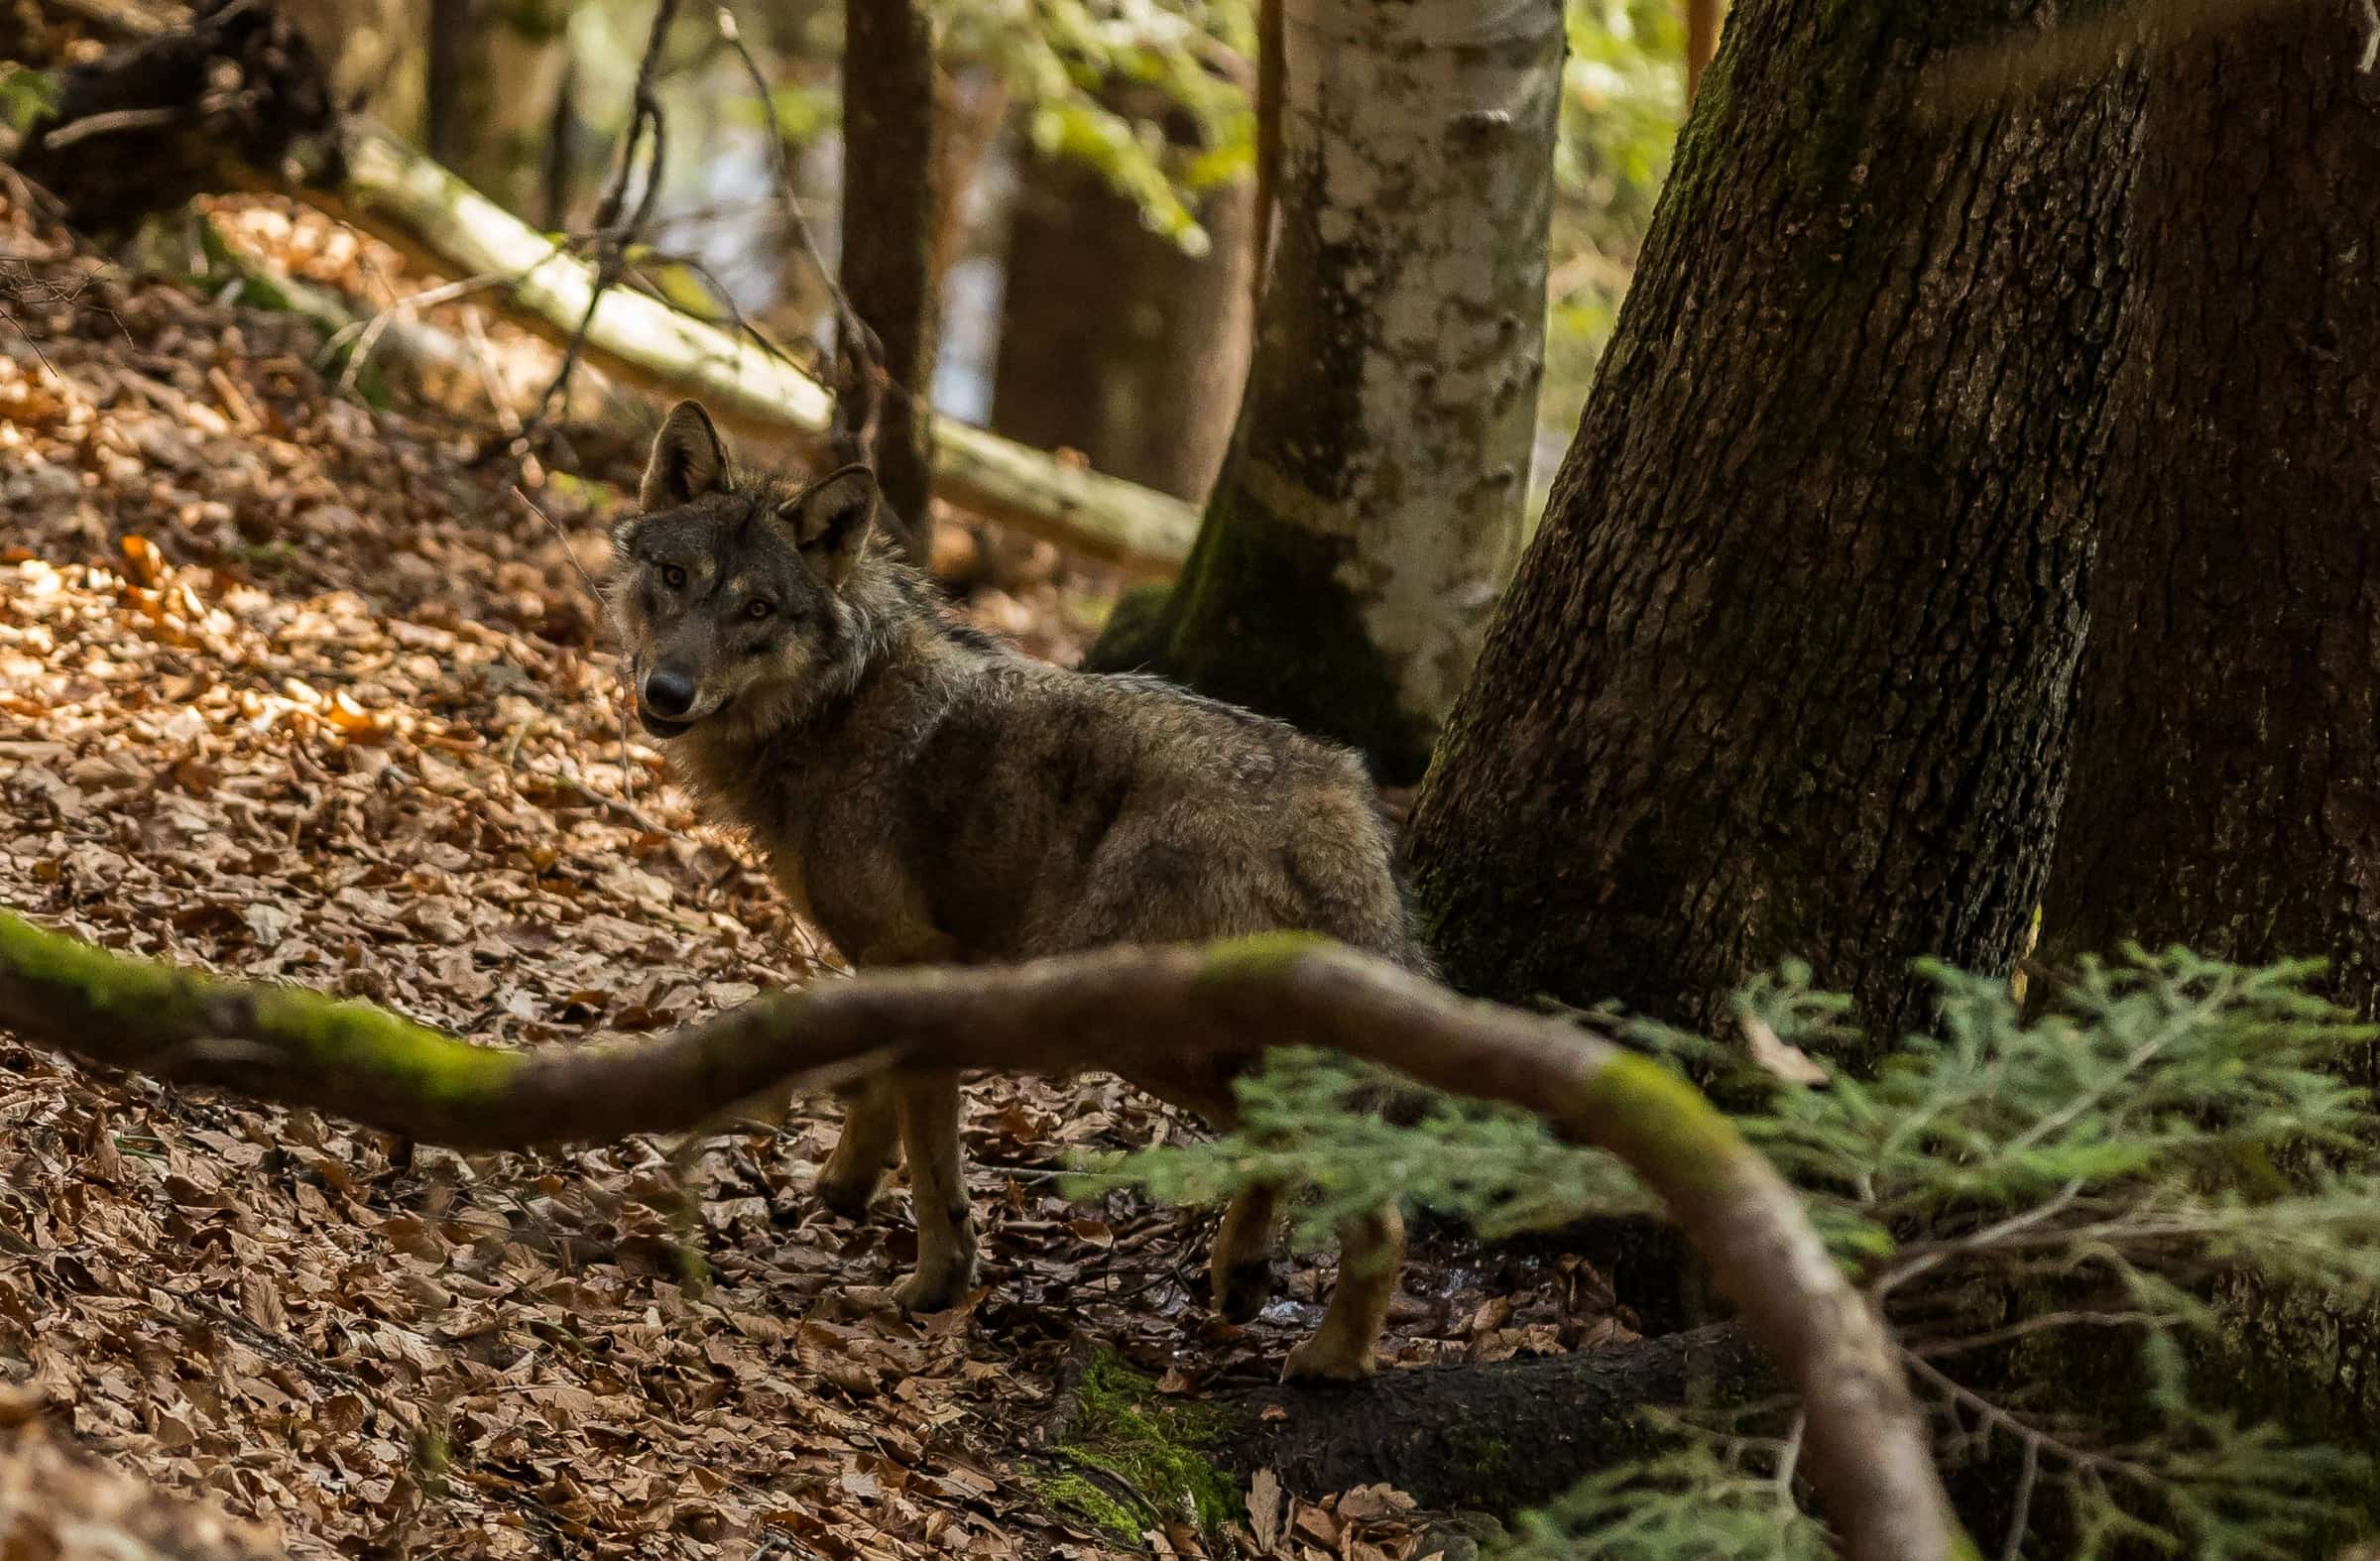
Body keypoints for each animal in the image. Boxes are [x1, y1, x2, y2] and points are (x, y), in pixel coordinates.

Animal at [606, 400, 1425, 1381]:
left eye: (758, 609)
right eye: (674, 578)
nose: (668, 690)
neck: (833, 708)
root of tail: (1333, 794)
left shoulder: (914, 968)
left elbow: (934, 1171)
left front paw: (931, 1289)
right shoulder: (890, 974)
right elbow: (876, 1105)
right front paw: (842, 1190)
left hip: (1142, 1031)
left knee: (1375, 1204)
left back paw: (1332, 1360)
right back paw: (1242, 1278)